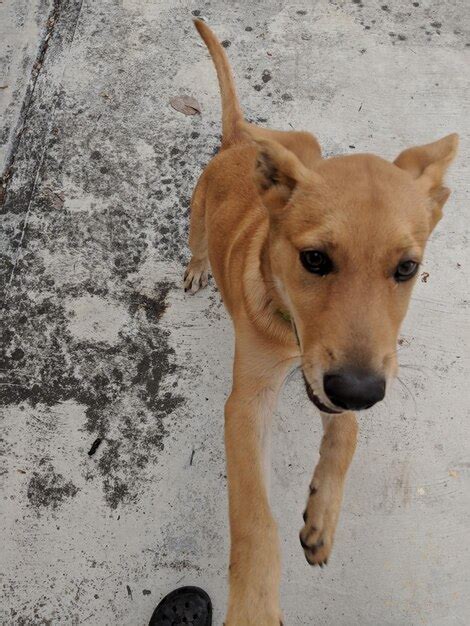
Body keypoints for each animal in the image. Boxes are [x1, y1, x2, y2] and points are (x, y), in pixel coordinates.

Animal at [185, 17, 458, 620]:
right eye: (314, 259)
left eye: (407, 268)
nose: (358, 389)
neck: (289, 330)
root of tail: (239, 142)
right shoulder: (248, 401)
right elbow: (254, 518)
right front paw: (255, 604)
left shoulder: (349, 374)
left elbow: (348, 432)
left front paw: (322, 519)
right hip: (196, 214)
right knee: (196, 242)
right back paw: (195, 267)